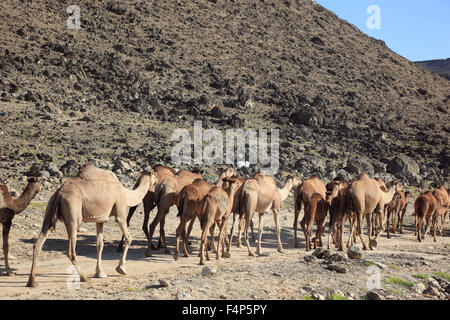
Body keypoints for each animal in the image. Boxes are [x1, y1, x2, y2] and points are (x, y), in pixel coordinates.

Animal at [26, 162, 157, 288]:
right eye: (155, 174)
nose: (156, 182)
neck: (126, 194)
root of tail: (58, 194)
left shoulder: (100, 220)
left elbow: (99, 245)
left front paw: (100, 273)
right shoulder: (120, 212)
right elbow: (128, 238)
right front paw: (121, 268)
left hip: (49, 211)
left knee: (38, 244)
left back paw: (32, 282)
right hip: (72, 214)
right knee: (71, 251)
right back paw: (84, 277)